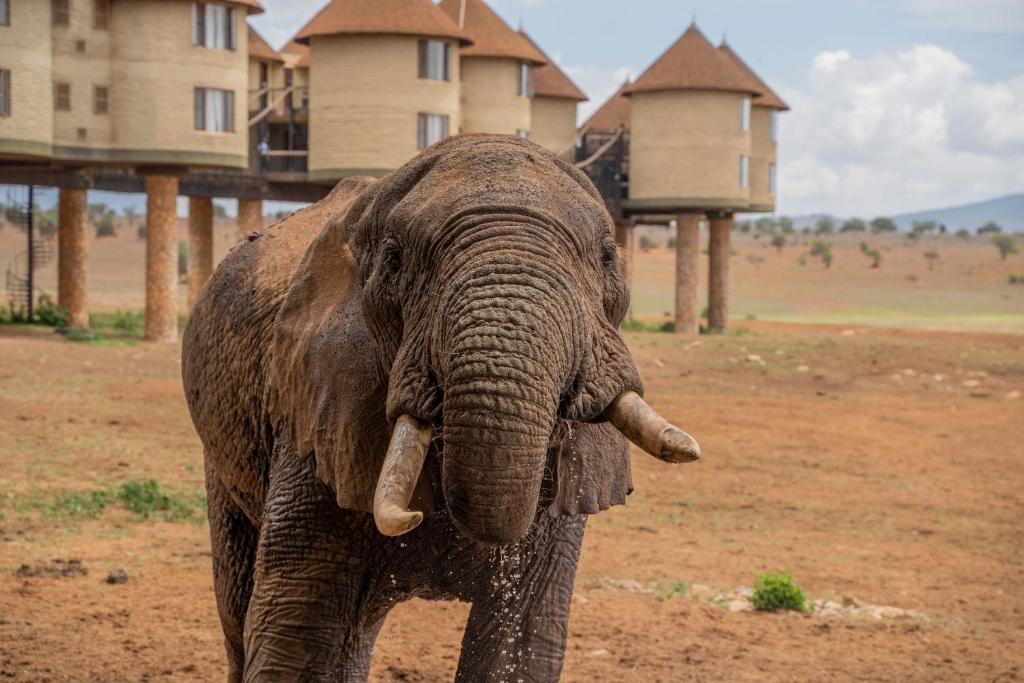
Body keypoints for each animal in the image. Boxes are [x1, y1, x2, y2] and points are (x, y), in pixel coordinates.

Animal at [181, 135, 700, 682]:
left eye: (607, 257)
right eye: (394, 259)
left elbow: (521, 641)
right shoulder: (316, 407)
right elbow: (297, 638)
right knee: (239, 607)